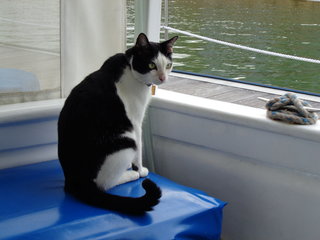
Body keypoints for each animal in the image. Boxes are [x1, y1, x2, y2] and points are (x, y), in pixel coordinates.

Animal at [58, 32, 179, 214]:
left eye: (168, 65)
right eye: (151, 64)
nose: (163, 78)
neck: (130, 68)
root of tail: (75, 181)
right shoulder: (136, 122)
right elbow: (140, 152)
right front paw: (140, 170)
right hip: (127, 141)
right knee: (105, 184)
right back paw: (130, 175)